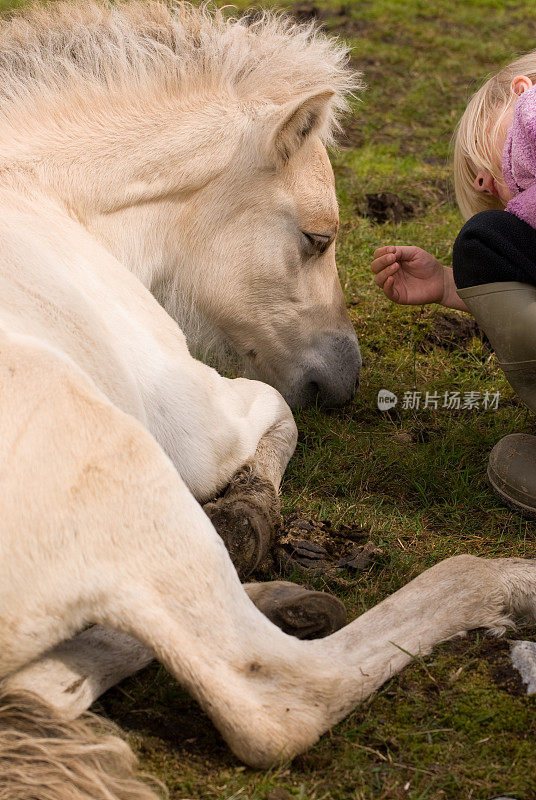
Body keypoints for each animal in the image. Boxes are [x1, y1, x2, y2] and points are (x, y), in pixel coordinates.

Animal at [1, 6, 536, 800]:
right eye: (317, 238)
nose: (345, 382)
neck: (43, 197)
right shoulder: (191, 419)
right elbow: (276, 418)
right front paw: (248, 515)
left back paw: (284, 598)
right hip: (122, 460)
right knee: (277, 696)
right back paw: (504, 583)